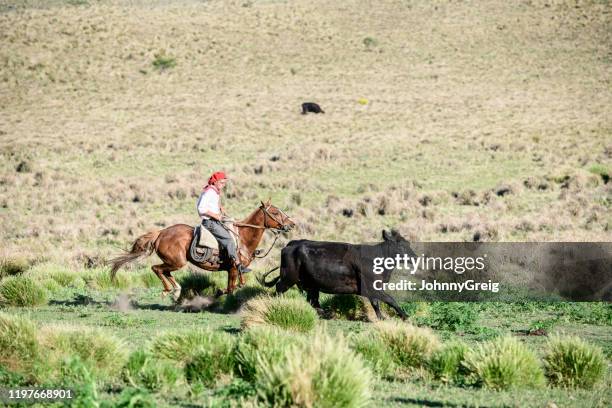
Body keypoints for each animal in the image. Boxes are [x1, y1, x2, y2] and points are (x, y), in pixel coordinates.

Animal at [109, 201, 294, 300]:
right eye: (275, 212)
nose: (291, 224)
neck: (242, 237)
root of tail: (161, 233)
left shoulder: (232, 271)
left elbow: (233, 287)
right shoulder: (234, 269)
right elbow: (230, 289)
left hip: (173, 262)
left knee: (164, 271)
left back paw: (176, 291)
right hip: (177, 262)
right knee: (156, 269)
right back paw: (169, 290)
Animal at [260, 230, 416, 318]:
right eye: (401, 246)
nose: (415, 257)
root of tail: (291, 244)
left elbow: (379, 302)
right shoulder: (371, 286)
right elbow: (388, 300)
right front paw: (403, 316)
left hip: (311, 284)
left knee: (313, 300)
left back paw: (326, 314)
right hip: (289, 277)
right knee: (279, 288)